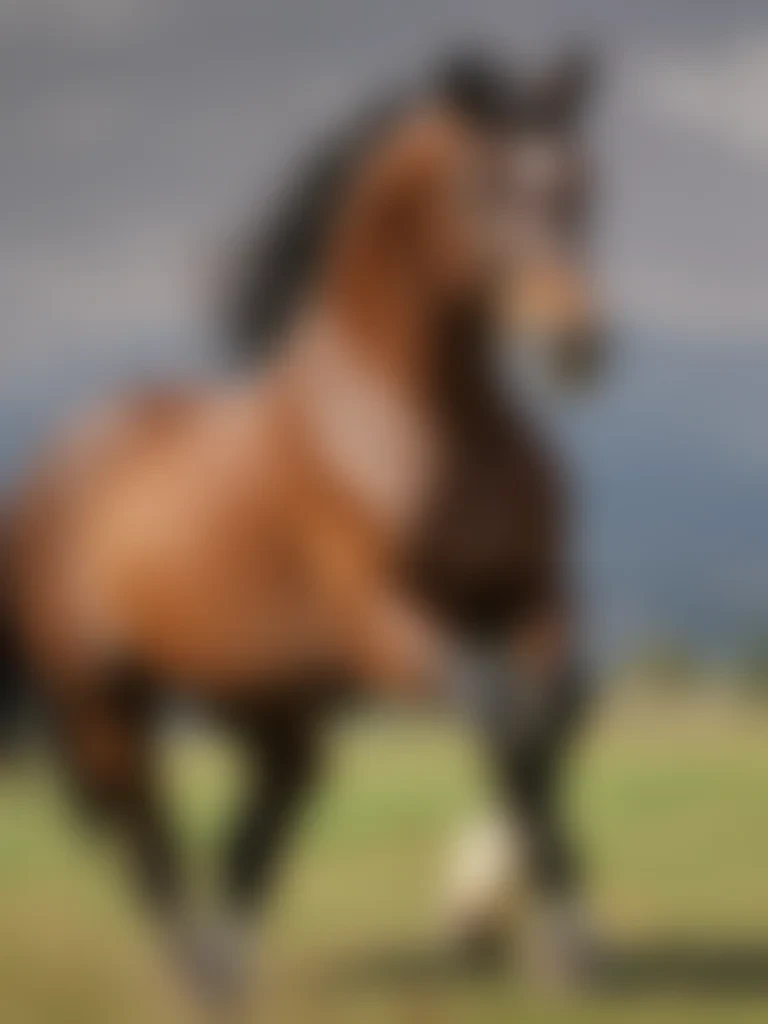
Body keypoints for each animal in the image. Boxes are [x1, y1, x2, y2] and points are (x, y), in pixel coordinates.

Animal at [3, 48, 605, 997]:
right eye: (485, 187)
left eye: (582, 184)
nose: (579, 341)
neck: (411, 418)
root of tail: (50, 469)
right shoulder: (385, 622)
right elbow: (503, 716)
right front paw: (531, 927)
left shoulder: (535, 596)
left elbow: (549, 725)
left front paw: (566, 939)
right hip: (101, 697)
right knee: (147, 833)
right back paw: (200, 977)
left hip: (268, 703)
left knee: (257, 824)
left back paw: (230, 972)